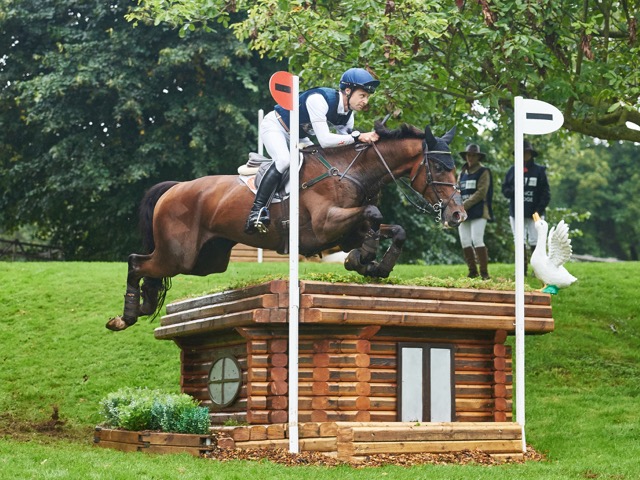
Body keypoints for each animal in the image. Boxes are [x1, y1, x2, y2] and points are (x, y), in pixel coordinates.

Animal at [105, 123, 464, 330]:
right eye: (438, 166)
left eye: (455, 167)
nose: (457, 215)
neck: (351, 170)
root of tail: (174, 188)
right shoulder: (324, 226)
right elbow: (374, 214)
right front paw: (365, 259)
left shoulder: (347, 231)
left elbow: (390, 228)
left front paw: (372, 263)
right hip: (179, 255)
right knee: (137, 262)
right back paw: (126, 316)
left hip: (205, 261)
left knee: (148, 268)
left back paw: (143, 305)